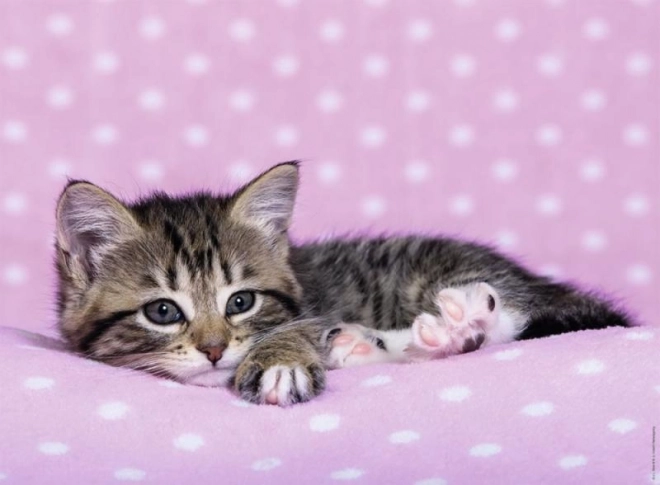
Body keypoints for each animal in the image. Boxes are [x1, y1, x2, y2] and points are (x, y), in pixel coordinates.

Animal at [55, 162, 628, 404]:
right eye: (163, 311)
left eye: (241, 301)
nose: (215, 350)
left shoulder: (311, 308)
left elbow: (298, 327)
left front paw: (280, 359)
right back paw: (367, 344)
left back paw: (462, 326)